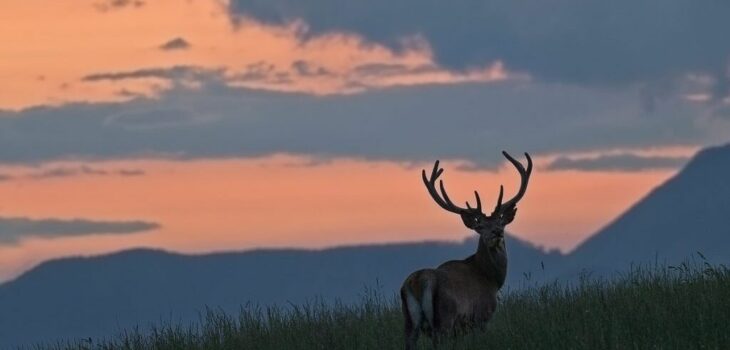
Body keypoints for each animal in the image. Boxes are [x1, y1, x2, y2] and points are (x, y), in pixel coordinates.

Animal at [400, 151, 532, 350]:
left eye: (501, 222)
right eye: (480, 226)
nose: (497, 232)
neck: (491, 279)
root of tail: (419, 281)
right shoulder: (481, 316)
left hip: (410, 320)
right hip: (444, 318)